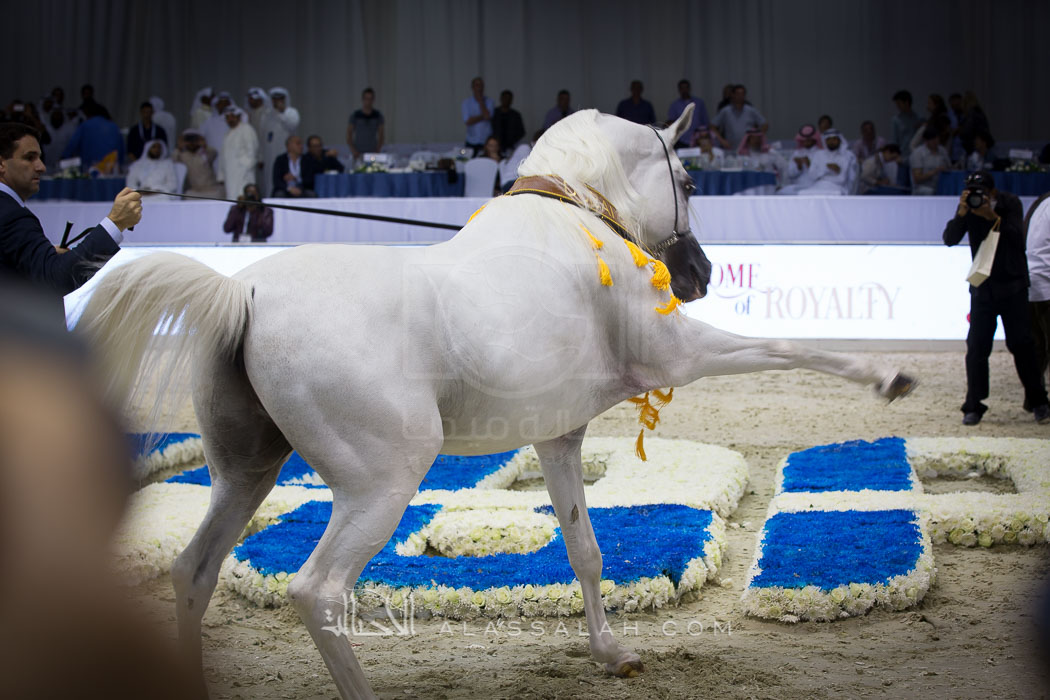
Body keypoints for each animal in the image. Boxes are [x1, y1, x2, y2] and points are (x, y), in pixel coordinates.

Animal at [80, 103, 914, 698]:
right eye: (689, 183)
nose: (701, 275)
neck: (576, 220)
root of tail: (243, 293)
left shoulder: (560, 437)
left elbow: (585, 548)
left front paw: (612, 653)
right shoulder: (678, 354)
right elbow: (786, 347)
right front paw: (888, 378)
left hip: (247, 472)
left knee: (193, 572)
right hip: (382, 482)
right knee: (318, 592)